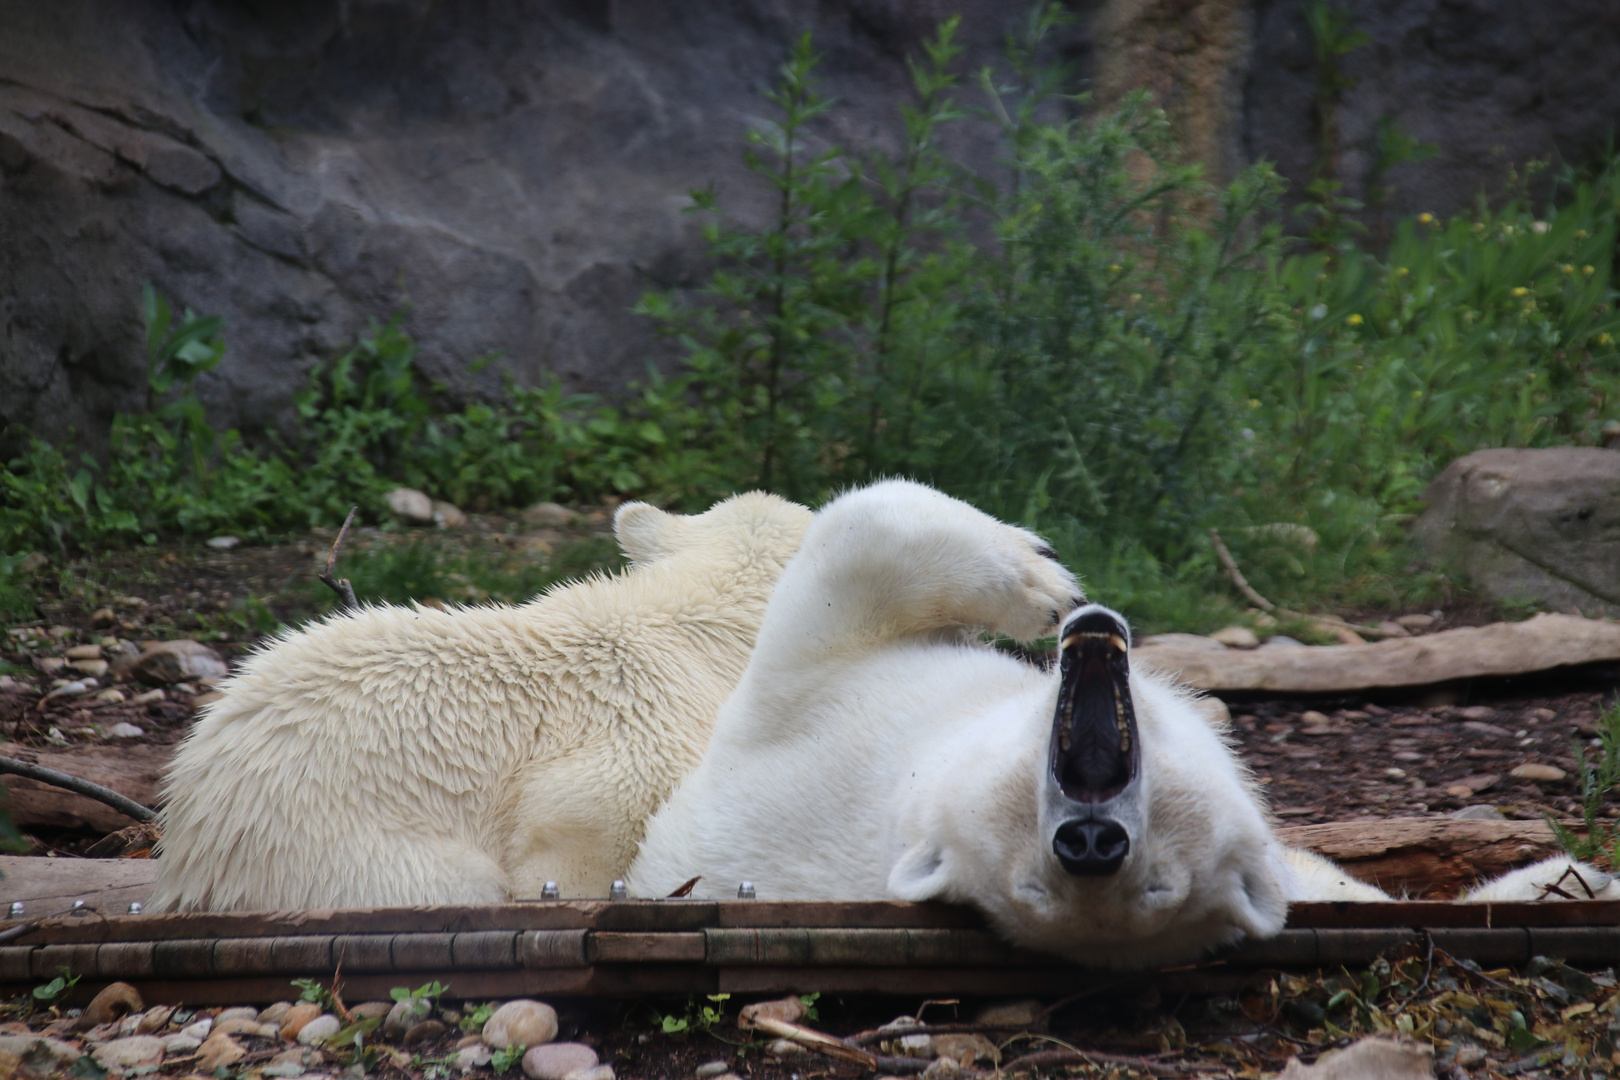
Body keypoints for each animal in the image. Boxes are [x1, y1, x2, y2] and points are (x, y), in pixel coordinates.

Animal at [631, 482, 1620, 971]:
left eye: (1159, 887)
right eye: (1031, 882)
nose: (1091, 843)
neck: (919, 769)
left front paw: (1560, 879)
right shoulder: (816, 721)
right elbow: (853, 546)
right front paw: (1039, 576)